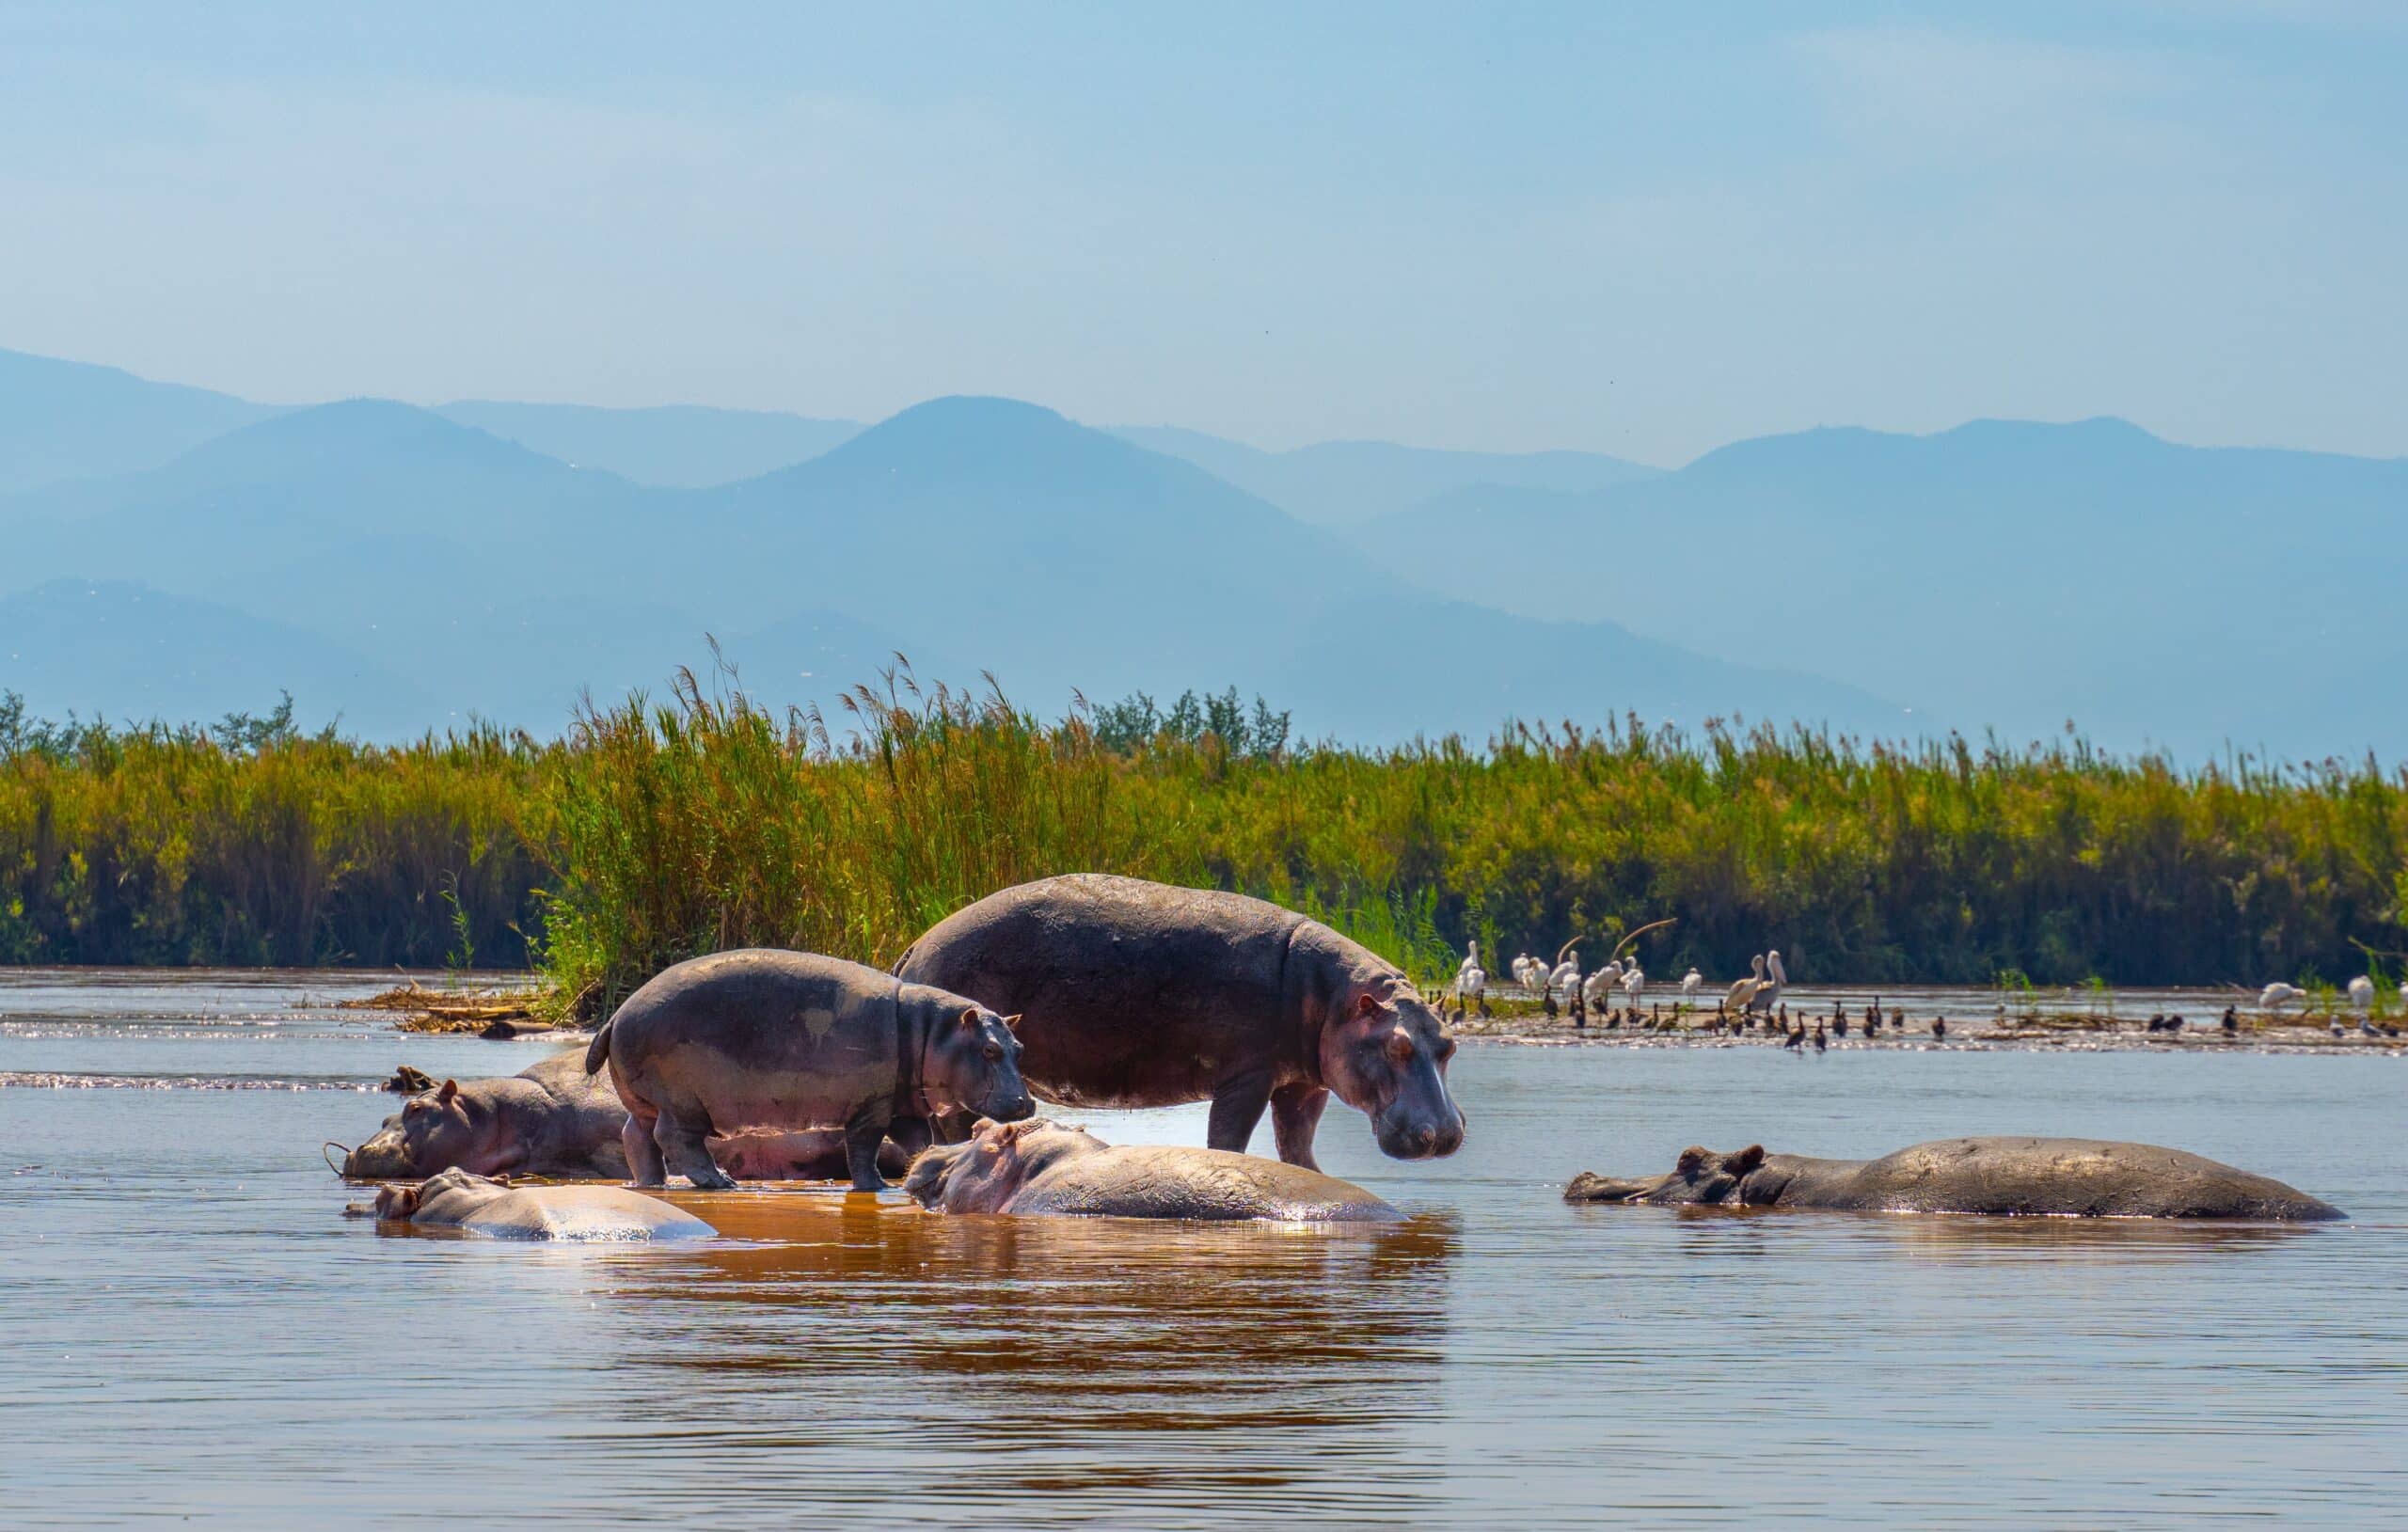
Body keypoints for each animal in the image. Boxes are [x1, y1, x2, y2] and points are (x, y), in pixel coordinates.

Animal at [584, 948, 1034, 1192]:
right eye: (990, 1049)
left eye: (1019, 1047)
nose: (1027, 1103)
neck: (931, 1032)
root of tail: (617, 1015)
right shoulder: (872, 1107)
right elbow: (863, 1148)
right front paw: (876, 1186)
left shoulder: (900, 1105)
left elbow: (919, 1141)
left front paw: (929, 1162)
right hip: (683, 1103)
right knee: (675, 1138)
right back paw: (720, 1181)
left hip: (644, 1100)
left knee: (637, 1136)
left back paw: (653, 1182)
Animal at [893, 874, 1464, 1169]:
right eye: (1395, 1047)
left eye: (1449, 1044)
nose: (1444, 1134)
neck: (1337, 998)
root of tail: (916, 946)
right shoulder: (1248, 1076)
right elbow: (1228, 1139)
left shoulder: (1304, 1083)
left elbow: (1297, 1146)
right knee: (949, 1127)